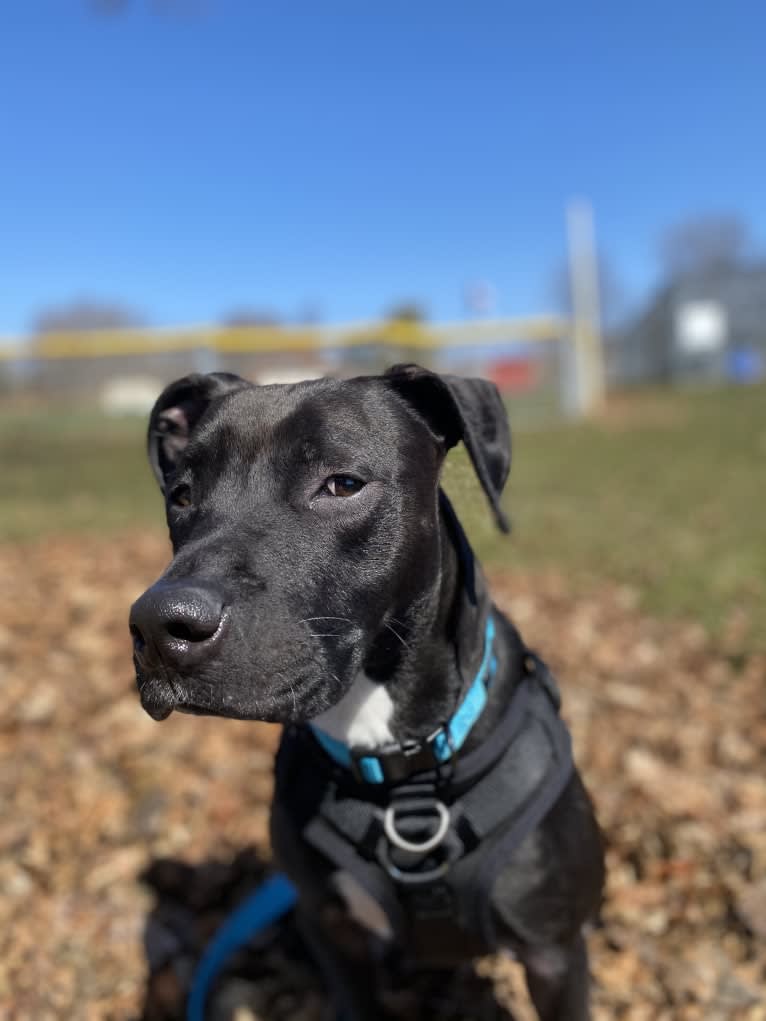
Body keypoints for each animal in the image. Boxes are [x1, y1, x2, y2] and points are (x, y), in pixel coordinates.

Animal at [130, 367, 604, 1021]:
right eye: (180, 495)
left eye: (343, 484)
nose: (158, 625)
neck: (403, 773)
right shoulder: (334, 932)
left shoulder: (553, 954)